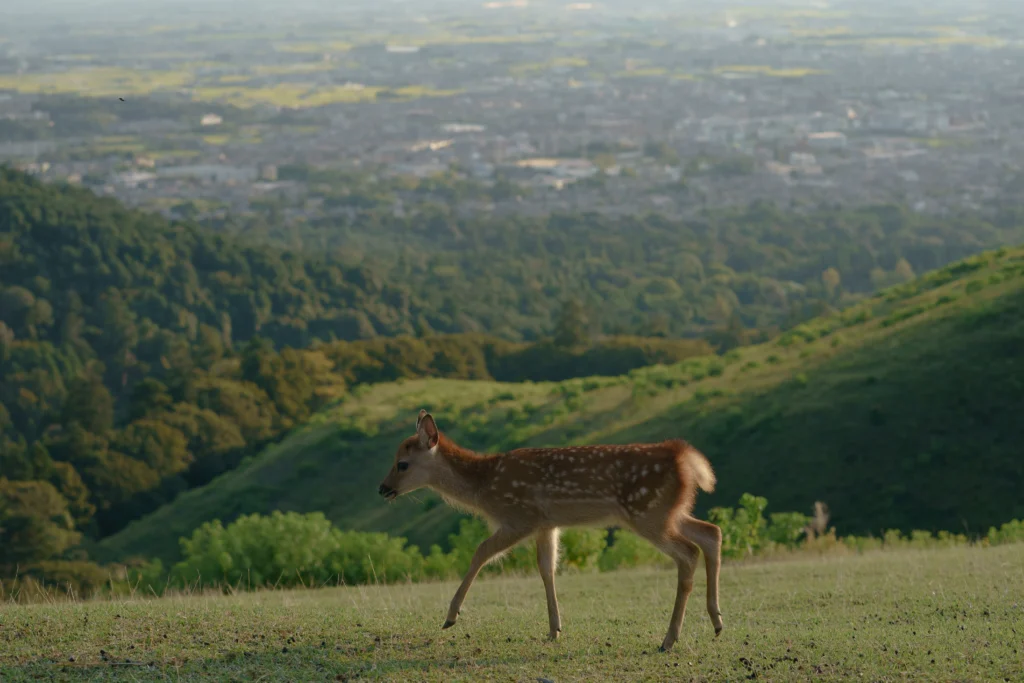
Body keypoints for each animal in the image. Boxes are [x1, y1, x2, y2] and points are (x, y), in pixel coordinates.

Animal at [377, 409, 724, 652]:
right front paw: (555, 629)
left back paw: (669, 639)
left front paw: (451, 616)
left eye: (403, 463)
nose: (382, 489)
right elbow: (547, 569)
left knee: (688, 553)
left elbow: (481, 552)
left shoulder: (521, 516)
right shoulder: (547, 524)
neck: (484, 487)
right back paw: (717, 621)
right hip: (670, 512)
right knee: (711, 533)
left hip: (647, 512)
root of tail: (685, 458)